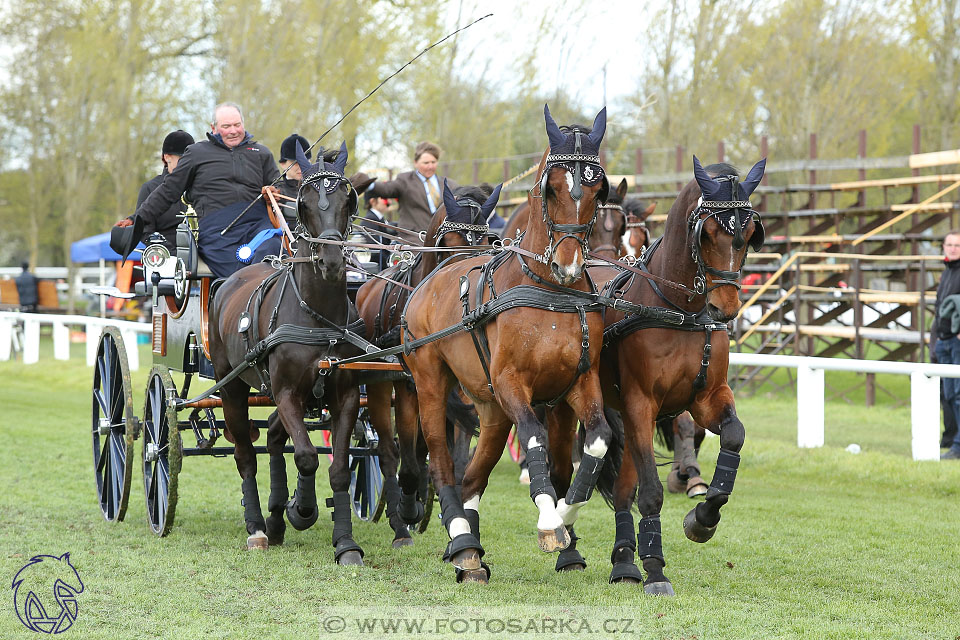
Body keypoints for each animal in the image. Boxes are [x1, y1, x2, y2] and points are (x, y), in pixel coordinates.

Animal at [354, 180, 502, 540]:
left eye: (485, 241)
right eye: (447, 242)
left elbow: (456, 460)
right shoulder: (411, 387)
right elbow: (406, 458)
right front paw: (409, 508)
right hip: (380, 385)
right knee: (387, 450)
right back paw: (400, 518)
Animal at [402, 106, 620, 584]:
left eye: (598, 189)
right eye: (551, 187)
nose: (568, 264)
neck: (549, 293)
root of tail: (433, 275)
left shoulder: (580, 380)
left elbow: (596, 441)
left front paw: (566, 515)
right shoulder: (510, 383)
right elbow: (535, 438)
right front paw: (550, 521)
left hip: (491, 408)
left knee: (473, 477)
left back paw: (468, 549)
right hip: (431, 382)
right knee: (441, 459)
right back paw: (461, 538)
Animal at [592, 156, 764, 596]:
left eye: (748, 233)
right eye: (708, 232)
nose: (725, 307)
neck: (680, 309)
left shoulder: (706, 398)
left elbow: (734, 435)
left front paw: (703, 517)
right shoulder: (640, 404)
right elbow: (651, 492)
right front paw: (656, 570)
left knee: (623, 490)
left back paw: (624, 561)